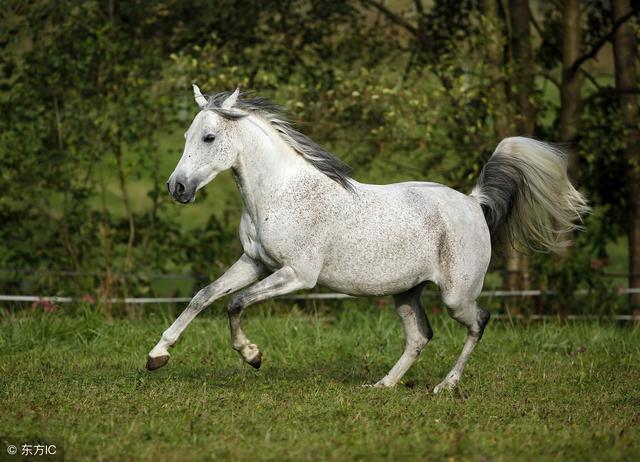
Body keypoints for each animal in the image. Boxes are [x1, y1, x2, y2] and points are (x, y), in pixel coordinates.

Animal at [148, 85, 588, 390]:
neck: (279, 191)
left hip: (456, 295)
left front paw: (252, 355)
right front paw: (157, 355)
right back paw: (382, 385)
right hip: (406, 292)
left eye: (208, 138)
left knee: (478, 322)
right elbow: (204, 296)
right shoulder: (255, 262)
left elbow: (235, 303)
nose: (177, 188)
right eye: (186, 136)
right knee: (419, 336)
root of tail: (473, 202)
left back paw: (446, 386)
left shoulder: (297, 275)